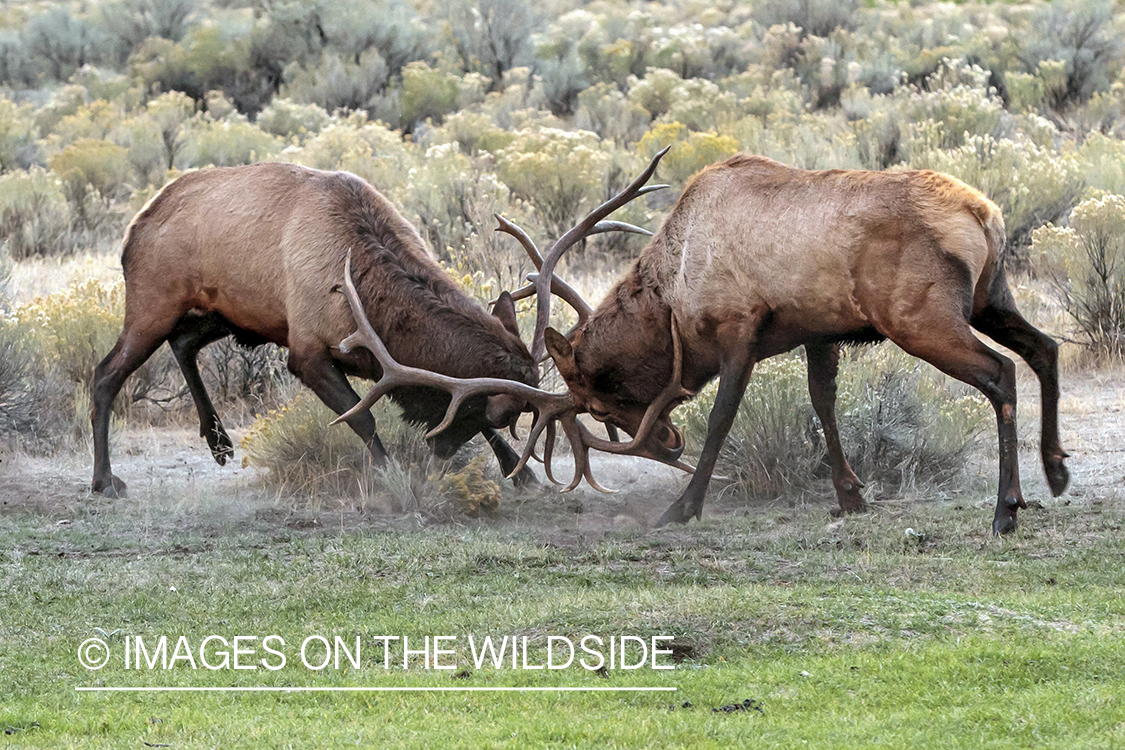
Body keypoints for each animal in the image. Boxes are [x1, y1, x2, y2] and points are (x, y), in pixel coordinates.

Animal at [91, 162, 552, 498]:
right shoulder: (306, 351)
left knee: (183, 342)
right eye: (499, 413)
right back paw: (104, 481)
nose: (439, 451)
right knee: (106, 374)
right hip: (153, 306)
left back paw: (219, 440)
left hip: (227, 314)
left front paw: (522, 473)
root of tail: (132, 230)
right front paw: (389, 476)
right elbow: (362, 417)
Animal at [333, 149, 1070, 535]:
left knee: (1001, 373)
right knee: (1045, 348)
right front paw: (849, 494)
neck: (675, 292)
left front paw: (681, 505)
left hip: (920, 316)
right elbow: (822, 405)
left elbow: (721, 417)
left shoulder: (741, 327)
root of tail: (985, 214)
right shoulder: (818, 332)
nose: (662, 439)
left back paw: (1007, 508)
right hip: (990, 297)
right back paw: (1056, 471)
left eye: (598, 399)